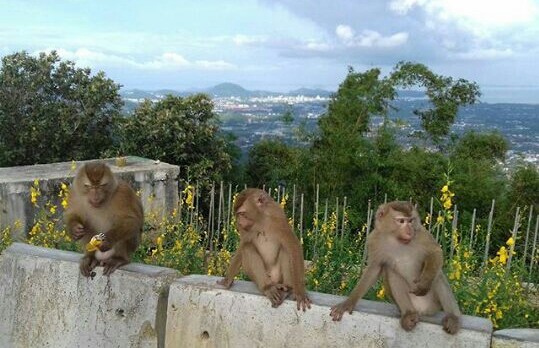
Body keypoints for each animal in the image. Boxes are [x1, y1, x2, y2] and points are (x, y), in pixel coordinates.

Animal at [332, 201, 462, 334]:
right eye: (401, 221)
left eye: (410, 221)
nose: (409, 230)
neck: (396, 239)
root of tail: (422, 310)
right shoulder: (374, 239)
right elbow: (374, 269)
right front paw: (348, 303)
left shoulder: (420, 233)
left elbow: (435, 252)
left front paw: (424, 283)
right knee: (391, 271)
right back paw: (408, 314)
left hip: (433, 303)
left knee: (438, 275)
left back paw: (452, 317)